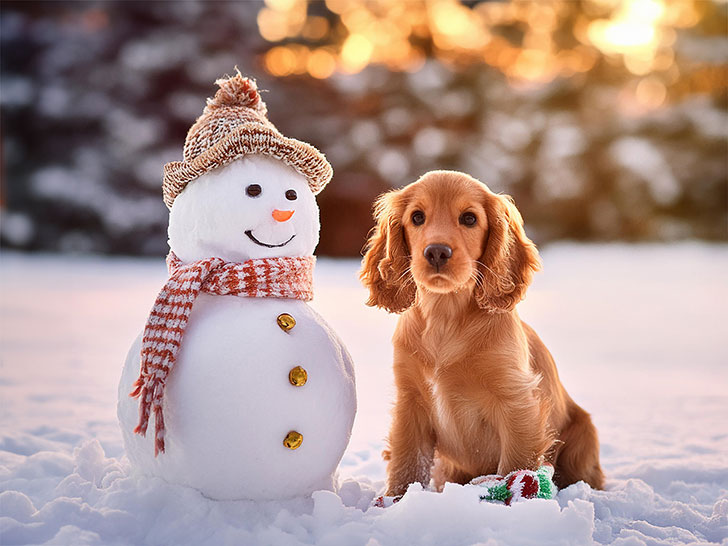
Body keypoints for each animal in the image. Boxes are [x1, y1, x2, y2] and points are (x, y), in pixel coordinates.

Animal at [358, 170, 604, 492]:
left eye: (469, 219)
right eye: (417, 217)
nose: (437, 252)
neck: (446, 315)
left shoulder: (516, 401)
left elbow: (515, 464)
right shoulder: (410, 402)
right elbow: (407, 465)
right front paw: (397, 500)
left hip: (583, 438)